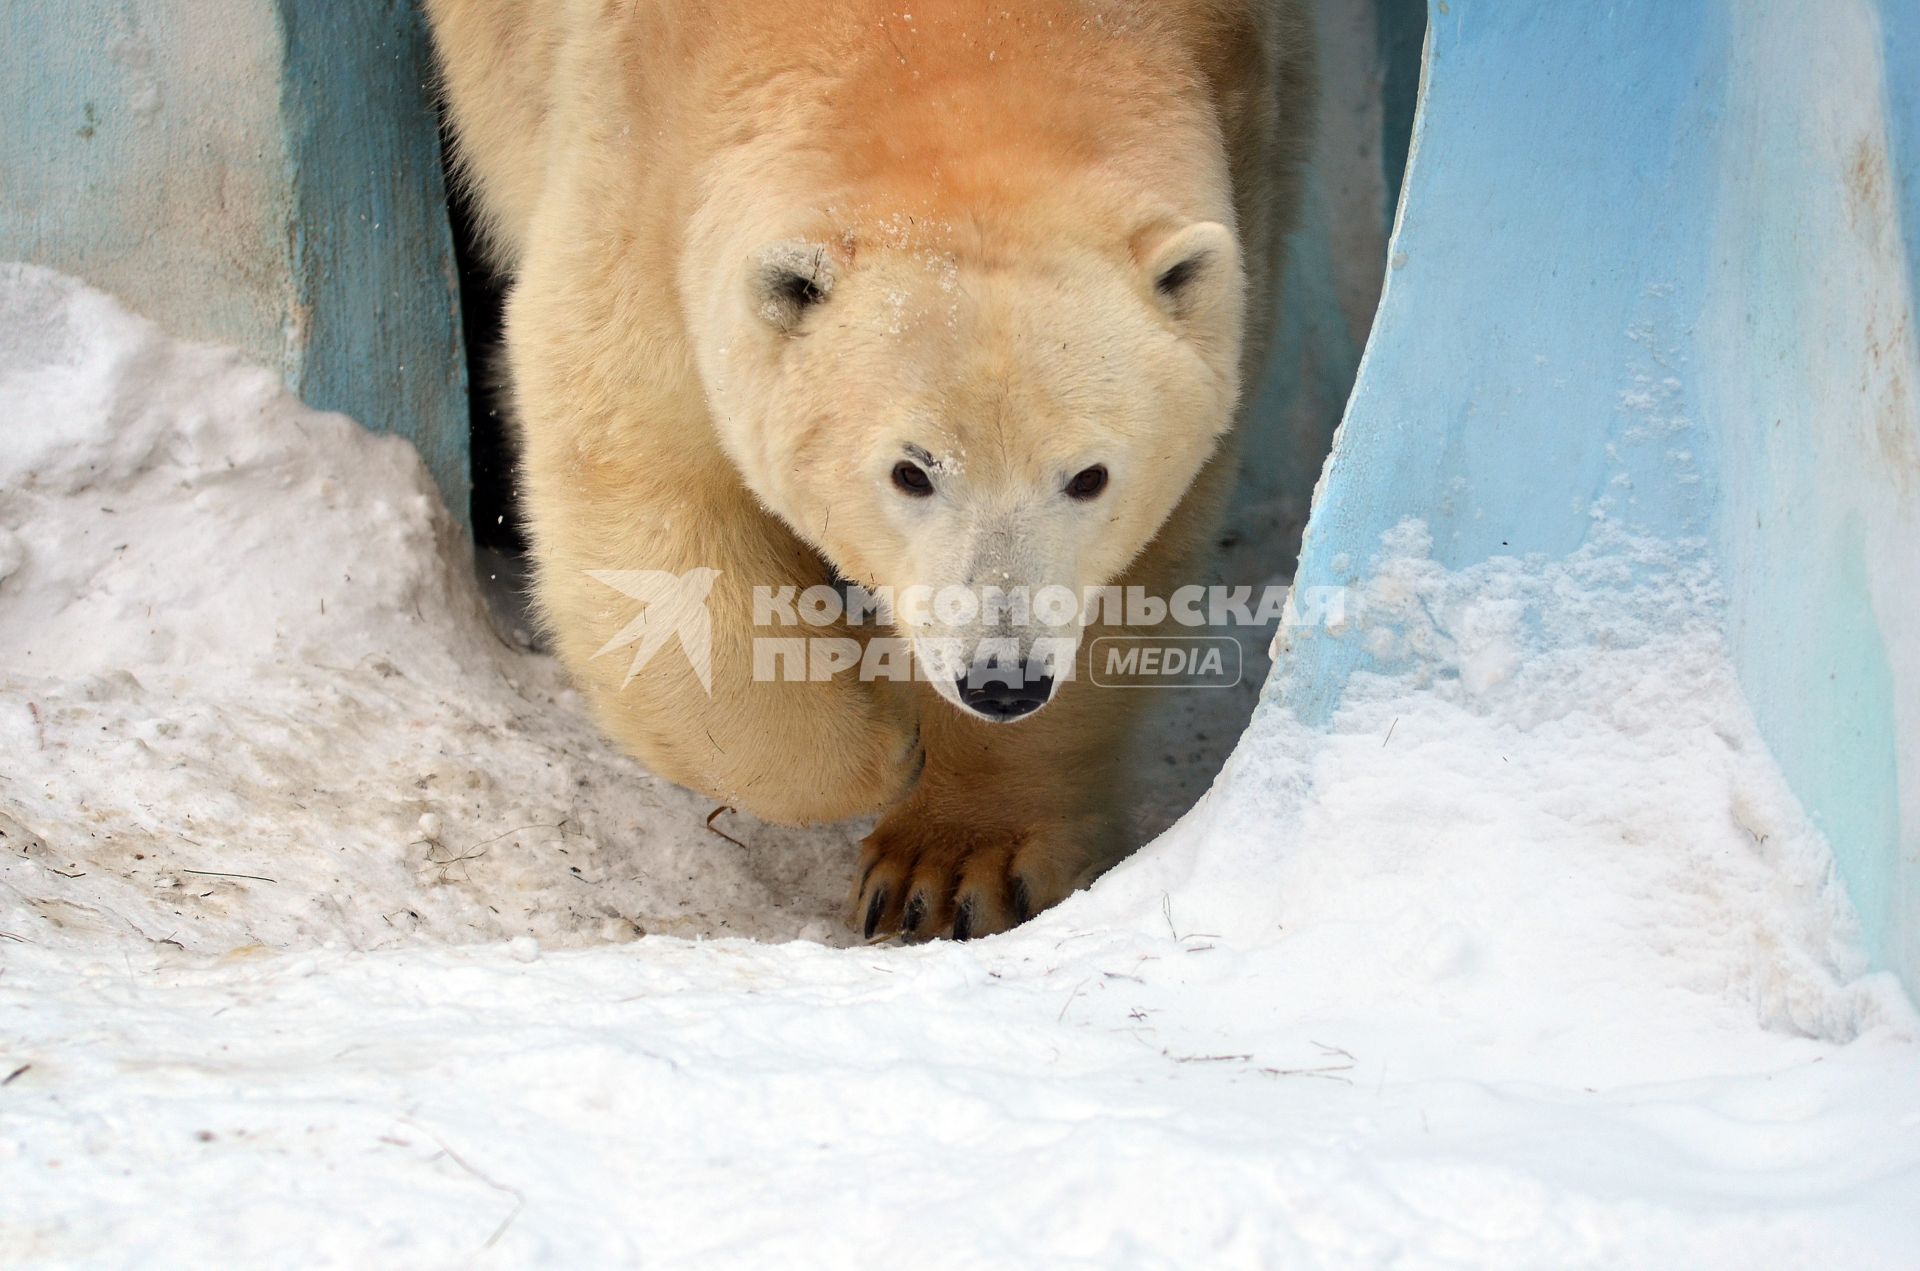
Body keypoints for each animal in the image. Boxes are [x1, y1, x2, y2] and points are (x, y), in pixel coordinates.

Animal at [426, 0, 1313, 936]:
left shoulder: (1249, 141)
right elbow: (640, 473)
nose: (1002, 679)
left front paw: (951, 866)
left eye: (1089, 476)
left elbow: (1141, 564)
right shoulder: (627, 147)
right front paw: (879, 739)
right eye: (911, 472)